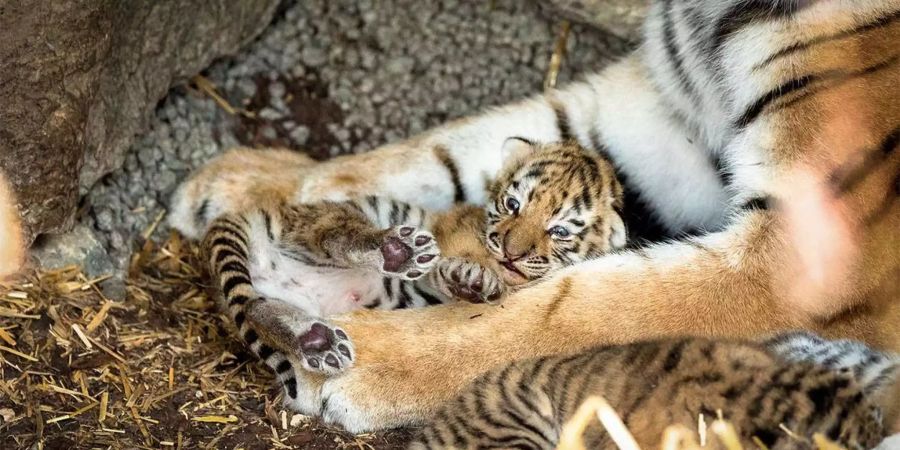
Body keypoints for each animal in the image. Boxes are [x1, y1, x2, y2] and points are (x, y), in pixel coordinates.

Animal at [171, 0, 900, 434]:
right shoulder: (666, 120)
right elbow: (452, 145)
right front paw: (250, 181)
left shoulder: (808, 254)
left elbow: (581, 310)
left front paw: (363, 361)